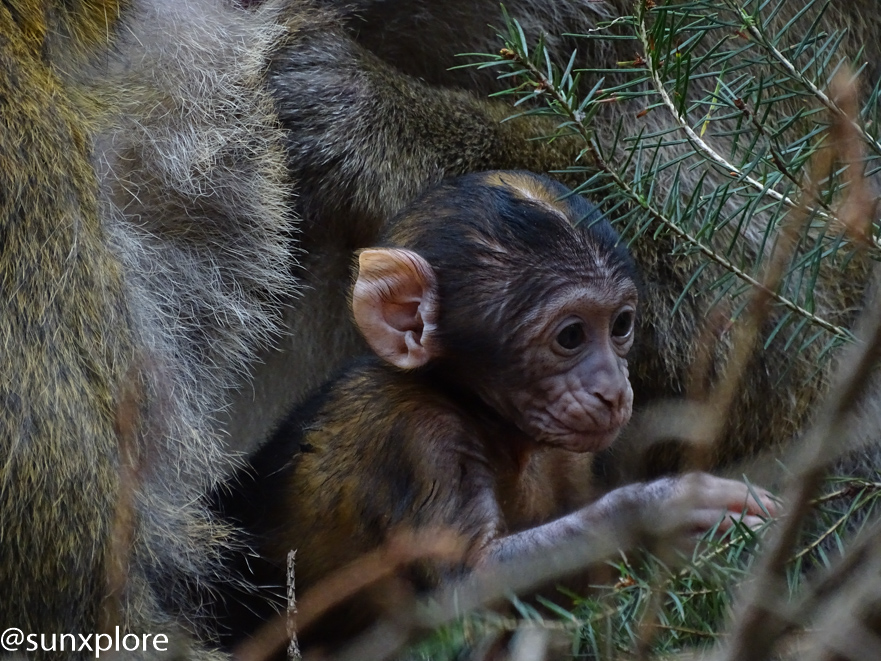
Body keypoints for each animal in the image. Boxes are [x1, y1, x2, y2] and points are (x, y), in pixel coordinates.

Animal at [217, 170, 772, 644]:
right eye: (571, 336)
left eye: (620, 326)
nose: (613, 390)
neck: (480, 412)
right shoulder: (414, 435)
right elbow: (468, 589)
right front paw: (662, 514)